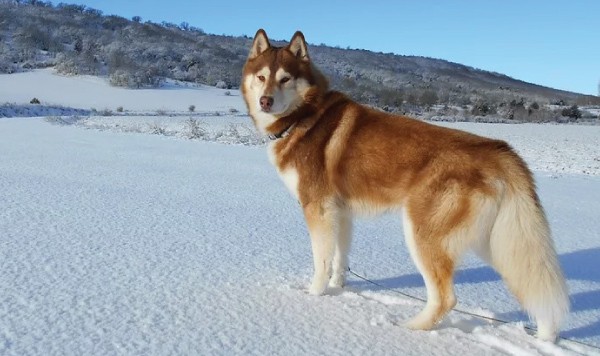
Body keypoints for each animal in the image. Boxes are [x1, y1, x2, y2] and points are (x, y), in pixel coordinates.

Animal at [240, 29, 568, 340]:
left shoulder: (317, 209)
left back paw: (410, 328)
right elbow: (339, 259)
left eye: (285, 79)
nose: (265, 101)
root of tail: (497, 150)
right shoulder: (340, 213)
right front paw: (338, 288)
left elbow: (321, 261)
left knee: (446, 298)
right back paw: (546, 335)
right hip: (497, 242)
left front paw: (313, 296)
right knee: (532, 282)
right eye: (262, 77)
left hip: (423, 234)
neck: (304, 115)